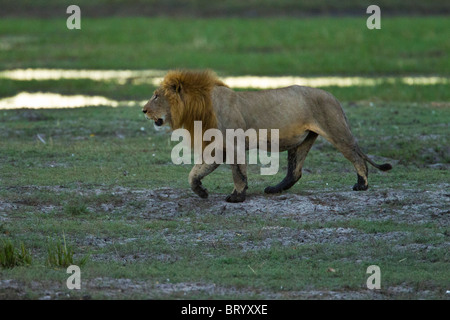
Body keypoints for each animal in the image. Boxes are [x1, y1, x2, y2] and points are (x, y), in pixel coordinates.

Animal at [142, 70, 392, 202]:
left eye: (156, 96)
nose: (143, 110)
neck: (197, 108)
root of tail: (333, 96)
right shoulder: (217, 148)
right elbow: (194, 173)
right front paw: (201, 191)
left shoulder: (234, 142)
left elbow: (238, 173)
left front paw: (237, 196)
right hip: (302, 141)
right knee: (295, 171)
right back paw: (274, 189)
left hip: (336, 130)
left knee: (357, 157)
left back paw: (361, 185)